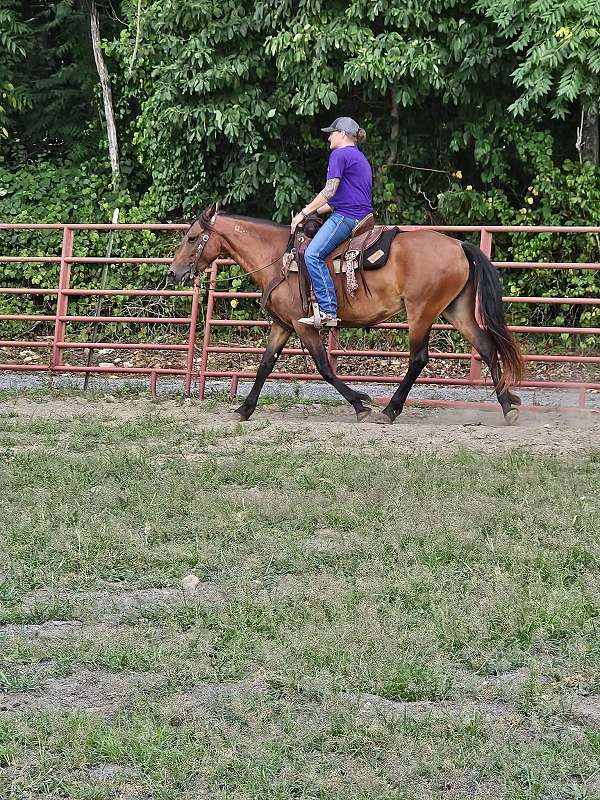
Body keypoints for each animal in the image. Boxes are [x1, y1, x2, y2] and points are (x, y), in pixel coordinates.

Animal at [166, 203, 524, 424]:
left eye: (192, 237)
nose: (173, 272)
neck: (277, 257)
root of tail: (458, 245)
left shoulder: (302, 325)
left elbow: (324, 366)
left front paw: (360, 403)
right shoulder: (282, 325)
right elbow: (265, 365)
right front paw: (244, 409)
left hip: (421, 312)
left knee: (418, 359)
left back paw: (390, 410)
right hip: (456, 310)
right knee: (487, 348)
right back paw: (508, 405)